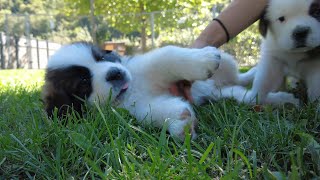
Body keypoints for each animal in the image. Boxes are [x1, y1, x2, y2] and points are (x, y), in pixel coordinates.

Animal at [42, 42, 252, 139]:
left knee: (238, 75)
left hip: (227, 64)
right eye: (84, 82)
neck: (133, 90)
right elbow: (154, 111)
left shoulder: (144, 67)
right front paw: (181, 122)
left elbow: (168, 55)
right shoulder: (138, 108)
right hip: (223, 91)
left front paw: (202, 59)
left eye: (101, 58)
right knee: (235, 88)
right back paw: (250, 95)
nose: (114, 74)